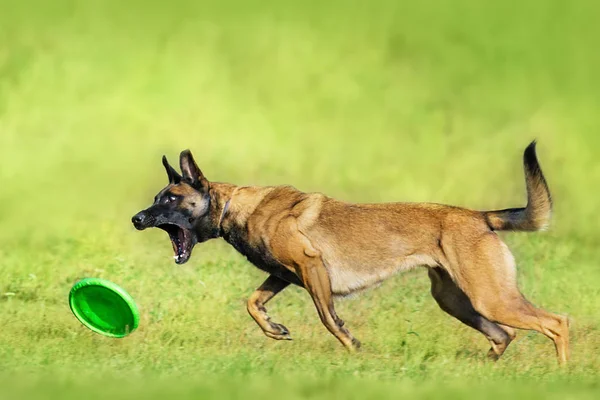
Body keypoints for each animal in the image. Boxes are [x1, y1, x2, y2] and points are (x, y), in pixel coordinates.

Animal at [131, 142, 568, 364]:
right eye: (156, 197)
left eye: (170, 198)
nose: (136, 219)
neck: (235, 206)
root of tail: (480, 216)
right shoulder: (284, 275)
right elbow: (253, 303)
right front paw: (274, 329)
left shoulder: (311, 268)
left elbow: (329, 318)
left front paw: (353, 348)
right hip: (456, 300)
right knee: (505, 335)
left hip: (490, 297)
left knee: (557, 323)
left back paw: (563, 378)